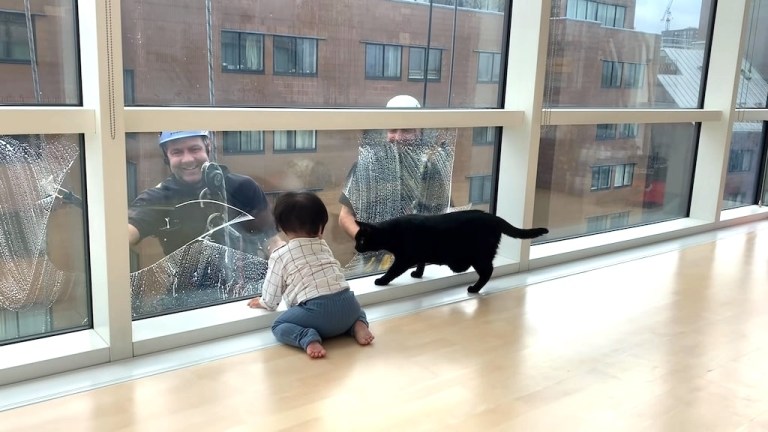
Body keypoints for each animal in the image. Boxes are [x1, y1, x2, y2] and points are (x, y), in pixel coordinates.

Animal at [354, 210, 544, 294]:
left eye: (361, 240)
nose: (356, 247)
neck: (392, 232)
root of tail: (494, 217)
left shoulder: (404, 258)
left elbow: (392, 271)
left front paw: (381, 280)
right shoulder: (419, 253)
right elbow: (421, 263)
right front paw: (418, 274)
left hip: (479, 255)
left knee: (488, 271)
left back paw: (474, 289)